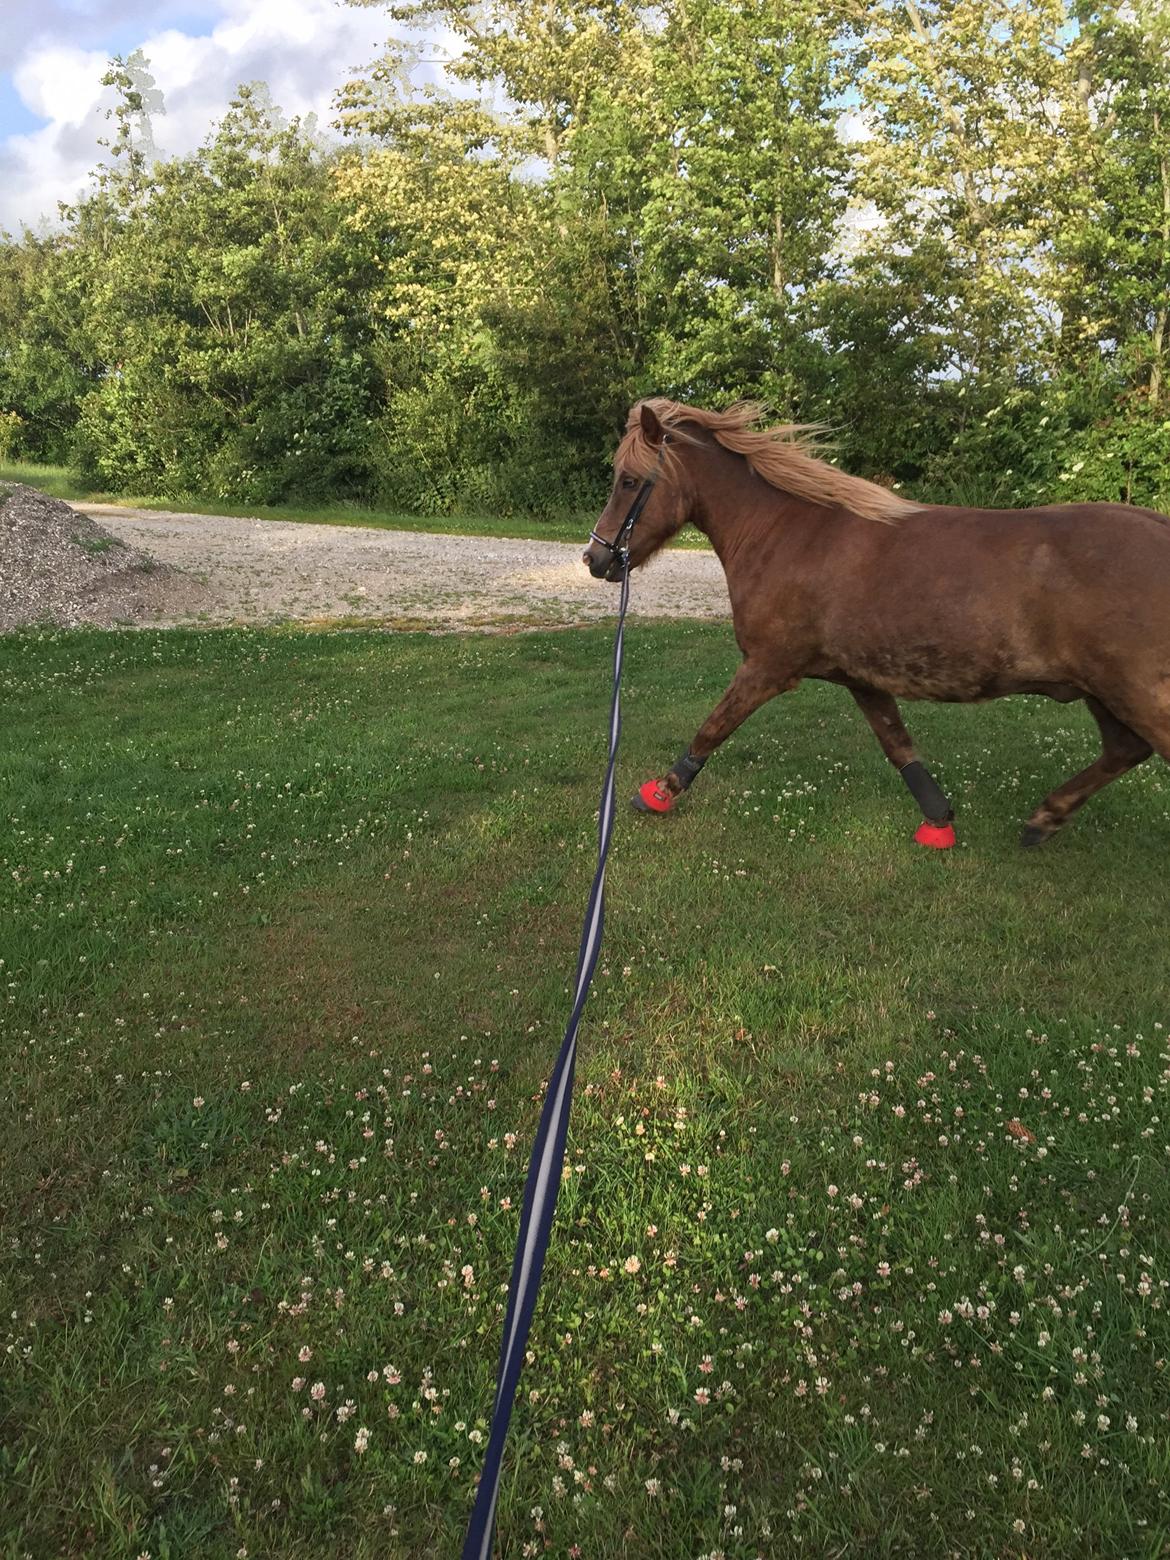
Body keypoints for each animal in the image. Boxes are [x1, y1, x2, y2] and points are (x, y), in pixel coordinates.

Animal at [583, 396, 1170, 848]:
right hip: (1105, 692)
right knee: (1124, 751)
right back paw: (1044, 818)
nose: (596, 559)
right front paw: (938, 820)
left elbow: (712, 727)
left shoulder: (768, 667)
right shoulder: (861, 678)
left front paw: (660, 792)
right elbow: (898, 745)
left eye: (628, 480)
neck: (788, 535)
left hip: (1134, 692)